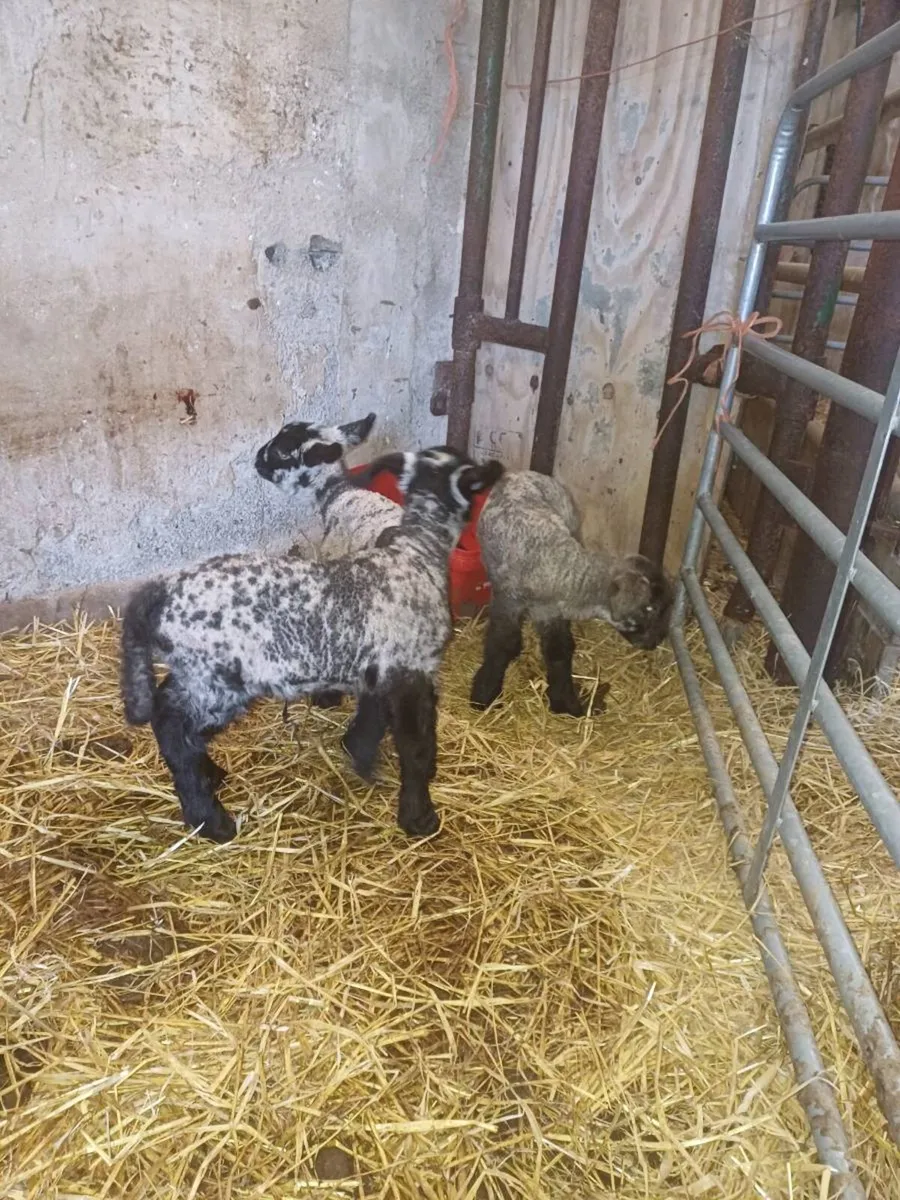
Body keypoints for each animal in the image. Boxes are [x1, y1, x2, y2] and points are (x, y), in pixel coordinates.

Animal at [120, 447, 504, 844]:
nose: (496, 470)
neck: (416, 552)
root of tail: (160, 594)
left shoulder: (380, 669)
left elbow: (374, 717)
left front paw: (359, 755)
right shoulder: (411, 671)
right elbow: (416, 743)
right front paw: (420, 815)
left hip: (195, 672)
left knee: (167, 711)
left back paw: (210, 777)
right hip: (219, 682)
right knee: (174, 726)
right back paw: (211, 820)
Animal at [470, 470, 673, 717]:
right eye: (651, 608)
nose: (656, 641)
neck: (562, 566)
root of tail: (521, 473)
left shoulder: (549, 610)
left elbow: (559, 649)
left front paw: (564, 703)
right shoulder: (508, 603)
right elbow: (501, 645)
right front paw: (484, 696)